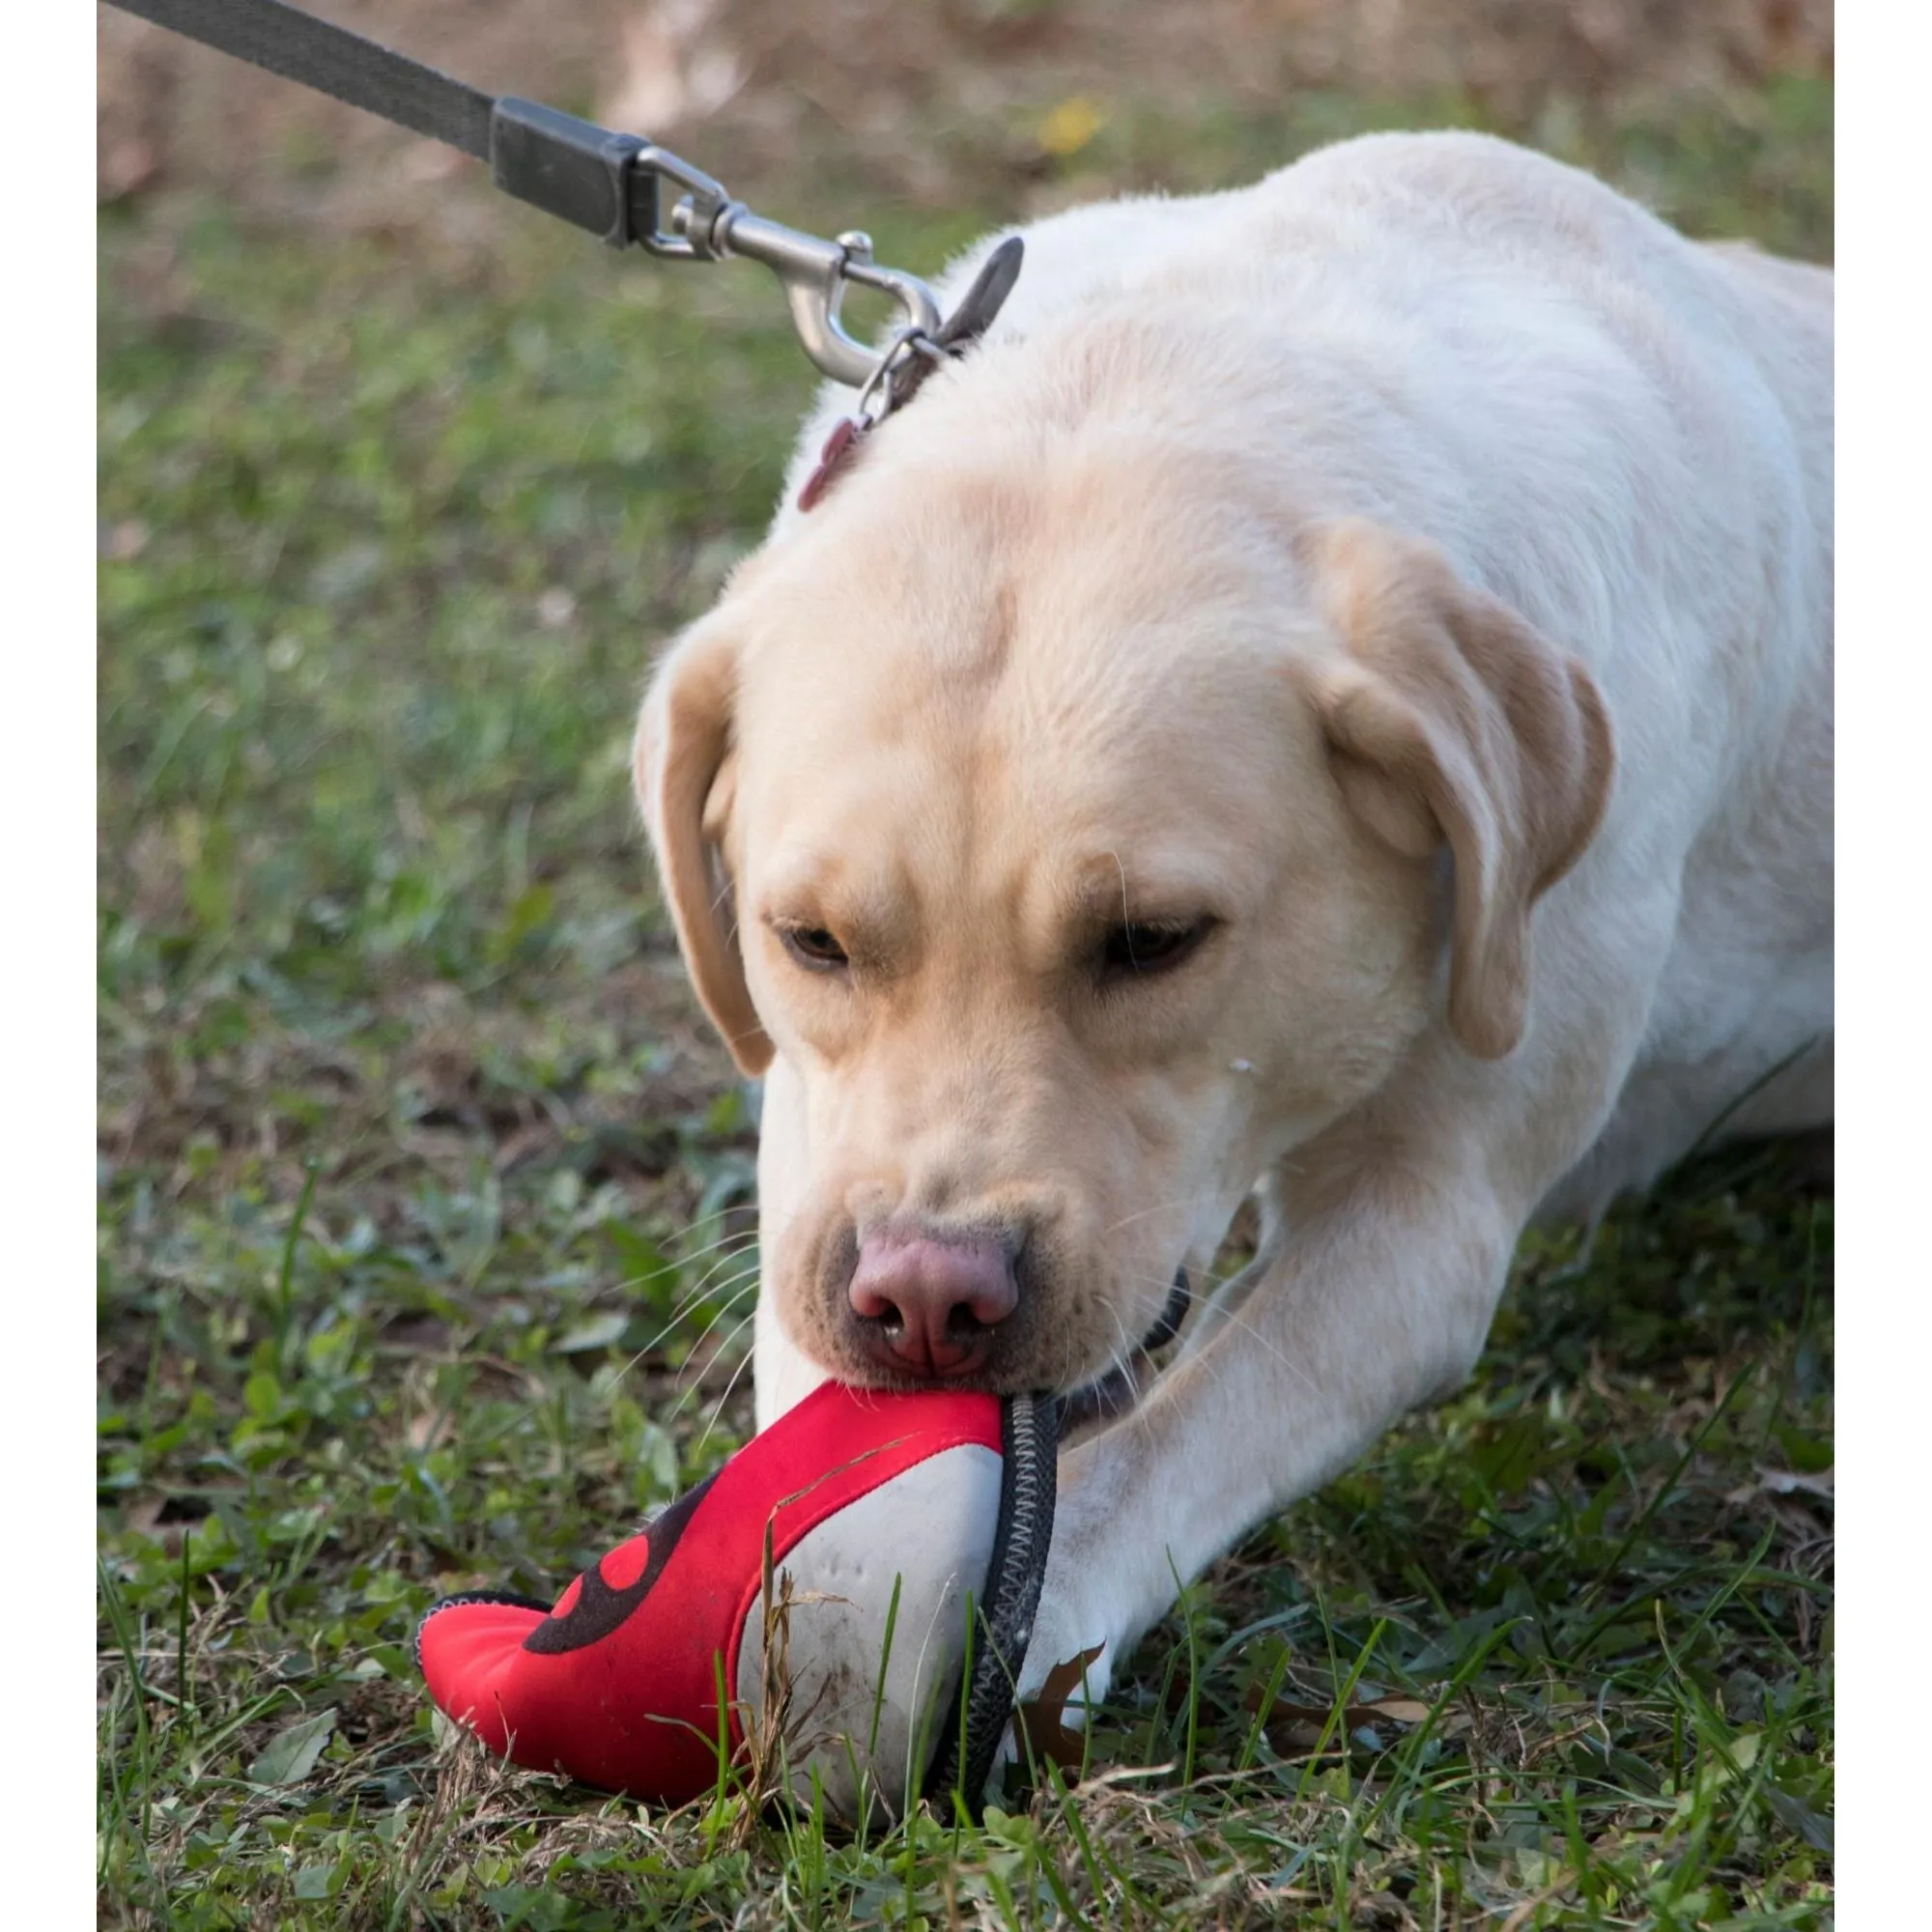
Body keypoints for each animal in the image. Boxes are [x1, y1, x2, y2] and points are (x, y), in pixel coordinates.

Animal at [630, 128, 1824, 1747]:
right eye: (809, 939)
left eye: (1152, 940)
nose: (928, 1302)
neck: (1179, 373)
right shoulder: (816, 1148)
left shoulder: (1428, 1214)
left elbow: (1168, 1445)